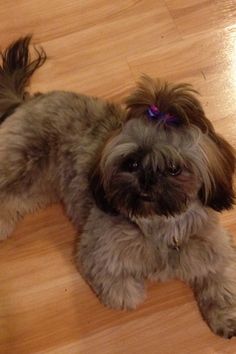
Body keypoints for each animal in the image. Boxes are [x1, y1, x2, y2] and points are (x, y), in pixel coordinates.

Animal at [0, 37, 236, 338]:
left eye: (174, 168)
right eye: (131, 163)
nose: (147, 180)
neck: (160, 225)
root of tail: (28, 101)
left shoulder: (216, 249)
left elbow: (222, 284)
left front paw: (226, 317)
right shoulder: (99, 253)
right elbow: (124, 291)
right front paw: (131, 293)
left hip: (36, 185)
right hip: (19, 165)